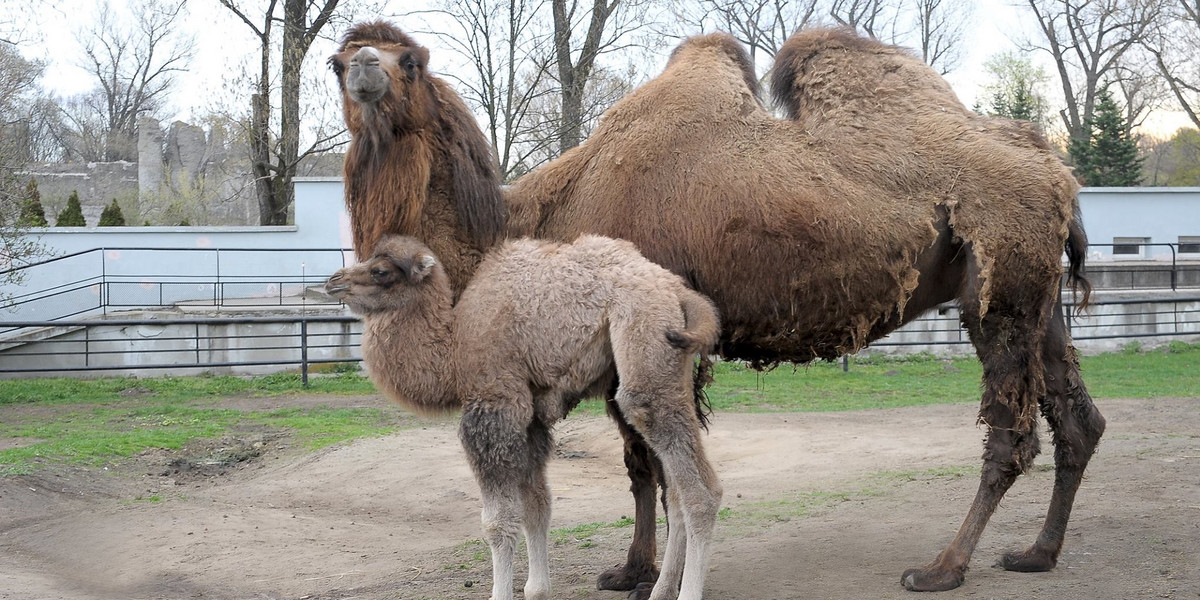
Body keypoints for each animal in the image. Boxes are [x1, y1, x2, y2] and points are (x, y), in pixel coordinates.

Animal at [324, 234, 724, 600]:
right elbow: (537, 505)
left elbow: (498, 522)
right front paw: (537, 588)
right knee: (674, 489)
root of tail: (677, 291)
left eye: (381, 271)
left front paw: (502, 592)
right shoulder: (531, 419)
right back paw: (659, 591)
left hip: (643, 340)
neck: (455, 346)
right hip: (669, 364)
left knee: (698, 487)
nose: (333, 281)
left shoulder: (496, 405)